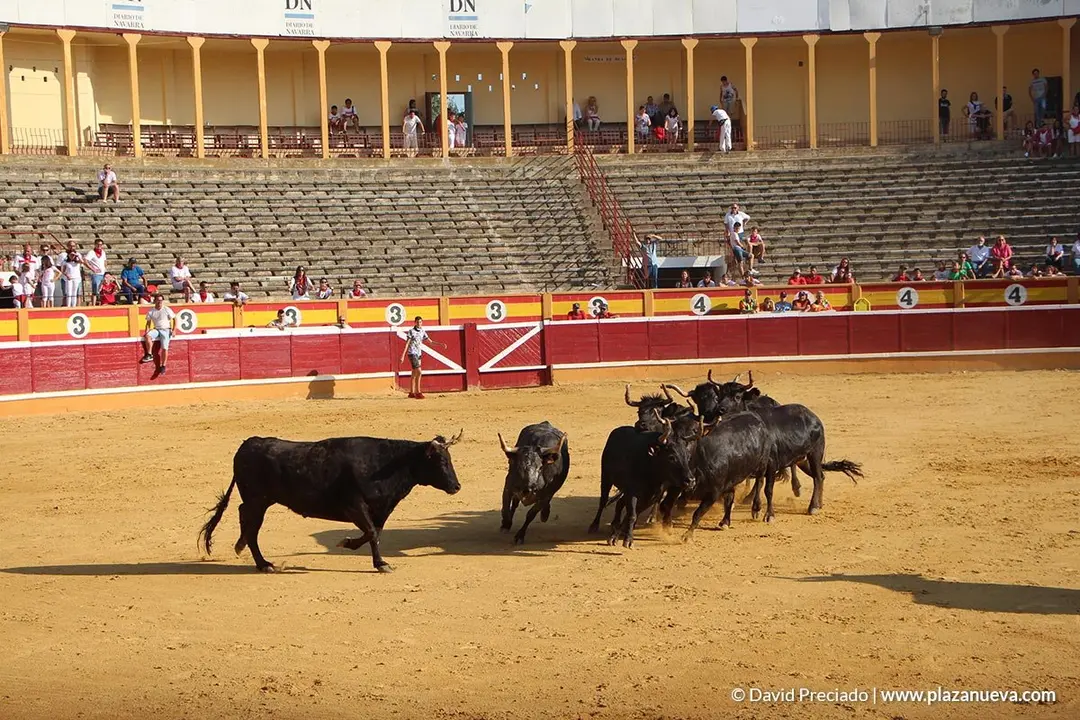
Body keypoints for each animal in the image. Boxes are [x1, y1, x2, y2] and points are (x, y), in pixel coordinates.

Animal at [198, 431, 464, 573]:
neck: (384, 465)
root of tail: (248, 443)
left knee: (245, 518)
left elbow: (374, 533)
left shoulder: (379, 510)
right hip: (257, 500)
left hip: (260, 501)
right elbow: (371, 533)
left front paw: (350, 544)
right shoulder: (354, 506)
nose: (456, 486)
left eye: (450, 459)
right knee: (251, 526)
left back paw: (243, 547)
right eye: (441, 461)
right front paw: (380, 563)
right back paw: (263, 564)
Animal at [589, 413, 698, 547]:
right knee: (603, 501)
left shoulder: (651, 497)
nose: (691, 481)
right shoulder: (632, 492)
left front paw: (619, 535)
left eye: (687, 456)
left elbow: (632, 514)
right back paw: (594, 526)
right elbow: (632, 515)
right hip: (606, 478)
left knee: (619, 503)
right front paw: (627, 540)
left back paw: (615, 524)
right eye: (671, 457)